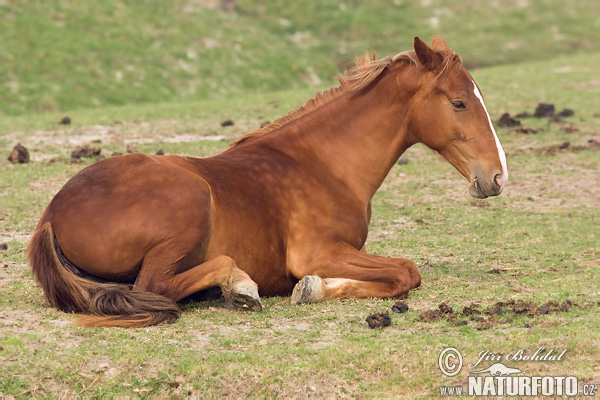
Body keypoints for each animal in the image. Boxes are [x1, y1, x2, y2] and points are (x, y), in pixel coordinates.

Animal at [27, 36, 506, 326]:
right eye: (459, 103)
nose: (497, 176)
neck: (323, 164)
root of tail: (51, 213)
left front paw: (314, 289)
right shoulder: (316, 252)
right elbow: (407, 271)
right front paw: (310, 288)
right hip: (189, 204)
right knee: (156, 286)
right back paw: (239, 287)